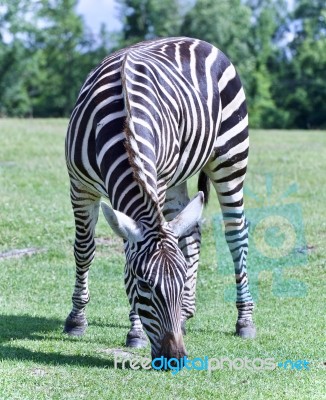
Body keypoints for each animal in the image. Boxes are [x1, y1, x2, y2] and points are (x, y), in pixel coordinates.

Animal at [63, 37, 256, 360]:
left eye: (178, 282)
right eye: (143, 283)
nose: (175, 357)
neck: (123, 121)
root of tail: (199, 40)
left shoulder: (158, 182)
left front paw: (135, 332)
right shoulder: (80, 187)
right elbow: (84, 250)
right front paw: (76, 319)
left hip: (230, 157)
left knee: (236, 235)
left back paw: (245, 320)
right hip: (178, 175)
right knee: (191, 232)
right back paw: (188, 313)